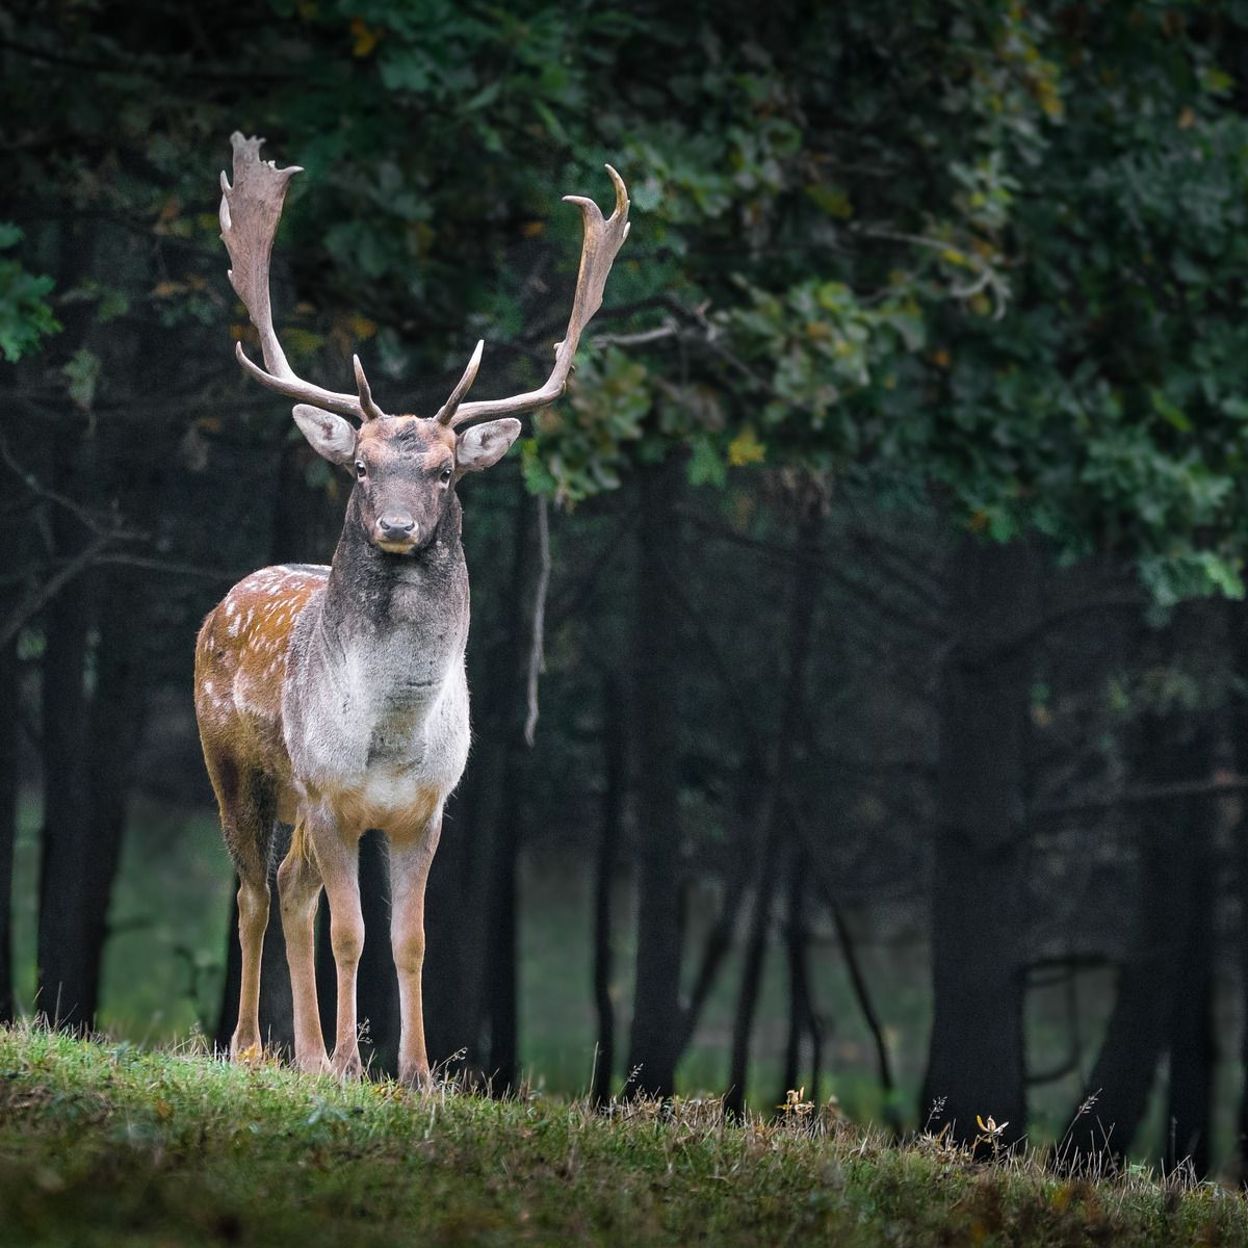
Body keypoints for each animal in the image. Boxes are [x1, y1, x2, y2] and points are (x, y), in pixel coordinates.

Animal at [198, 134, 628, 1083]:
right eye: (360, 466)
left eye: (445, 471)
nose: (396, 526)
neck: (391, 735)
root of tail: (225, 599)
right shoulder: (330, 795)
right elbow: (352, 933)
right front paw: (353, 1064)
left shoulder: (427, 809)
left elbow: (411, 939)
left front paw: (417, 1071)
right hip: (236, 768)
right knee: (252, 893)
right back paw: (253, 1048)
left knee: (289, 890)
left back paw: (305, 1053)